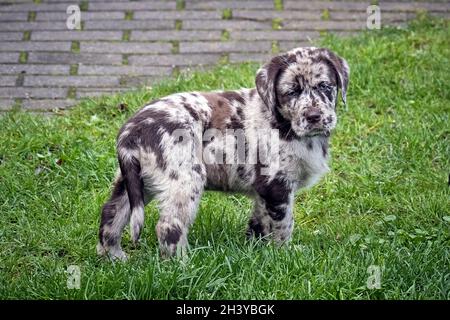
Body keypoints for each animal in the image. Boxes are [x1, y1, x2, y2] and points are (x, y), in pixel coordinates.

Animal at [96, 46, 350, 260]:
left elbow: (259, 223)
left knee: (112, 213)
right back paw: (183, 267)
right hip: (185, 179)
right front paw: (284, 256)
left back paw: (114, 258)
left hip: (136, 180)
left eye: (325, 86)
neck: (283, 123)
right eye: (292, 92)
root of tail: (131, 132)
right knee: (169, 226)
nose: (314, 117)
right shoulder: (277, 186)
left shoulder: (262, 191)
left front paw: (256, 251)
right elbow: (283, 226)